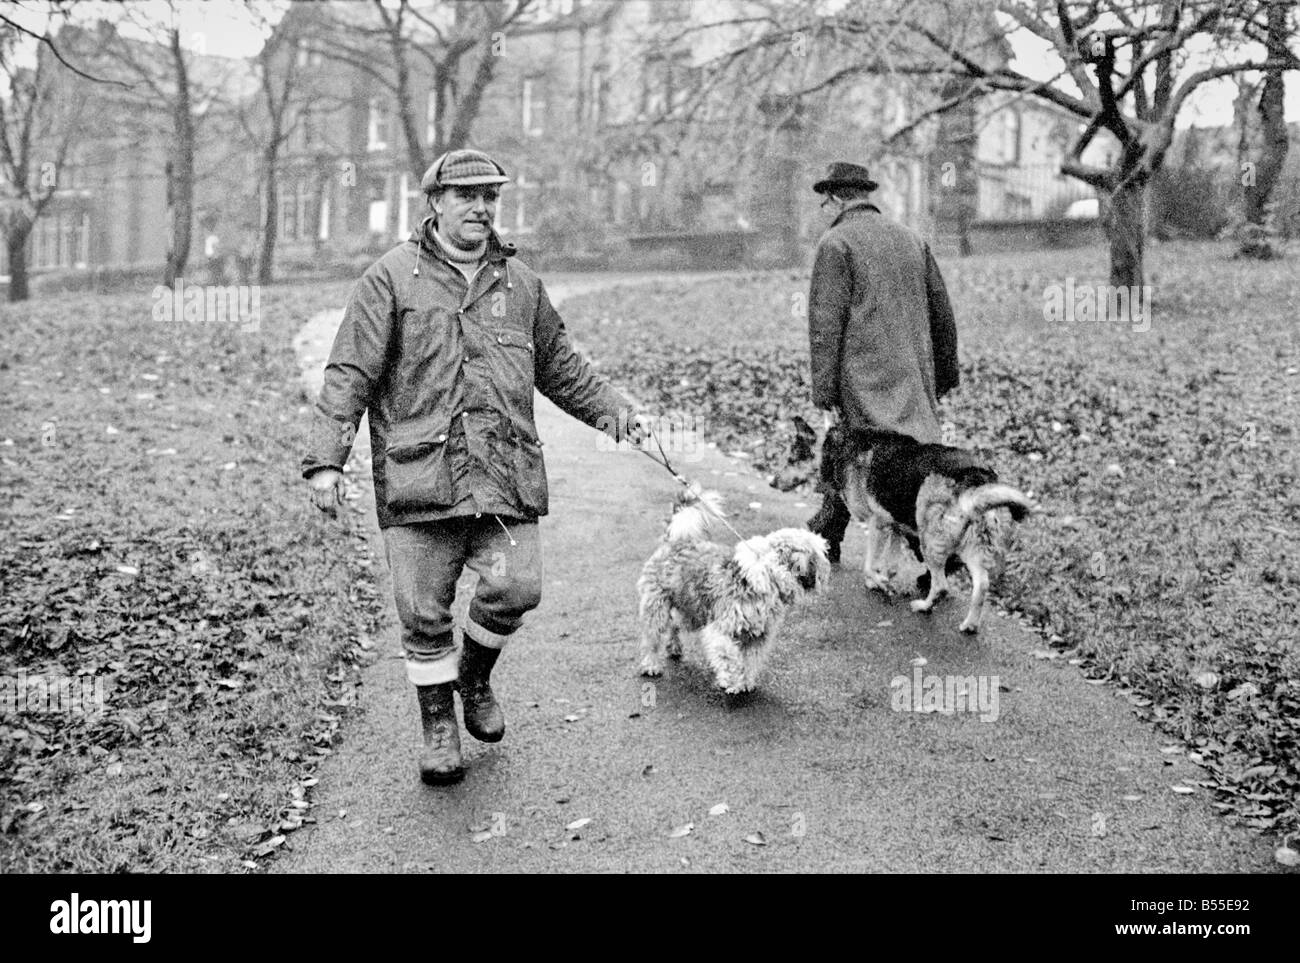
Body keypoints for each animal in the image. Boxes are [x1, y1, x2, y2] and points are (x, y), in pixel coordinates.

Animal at [826, 426, 1040, 631]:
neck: (858, 443)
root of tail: (976, 477)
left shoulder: (878, 523)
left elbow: (869, 565)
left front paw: (878, 582)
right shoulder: (895, 526)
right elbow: (890, 562)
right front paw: (882, 579)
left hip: (928, 540)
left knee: (941, 586)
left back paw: (923, 606)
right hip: (972, 547)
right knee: (982, 585)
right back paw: (970, 625)